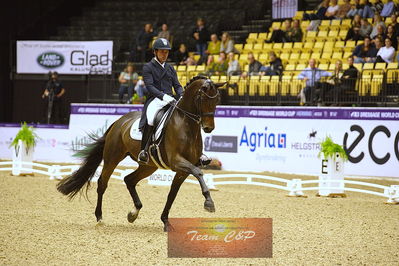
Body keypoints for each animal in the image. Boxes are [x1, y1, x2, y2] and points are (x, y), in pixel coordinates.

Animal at [57, 76, 223, 232]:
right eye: (202, 98)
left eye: (217, 100)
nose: (209, 128)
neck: (186, 124)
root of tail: (119, 121)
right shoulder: (177, 161)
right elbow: (198, 172)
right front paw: (209, 203)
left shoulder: (182, 170)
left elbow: (172, 194)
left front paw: (165, 222)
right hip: (112, 158)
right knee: (102, 183)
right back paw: (99, 218)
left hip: (148, 166)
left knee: (129, 180)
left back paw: (133, 213)